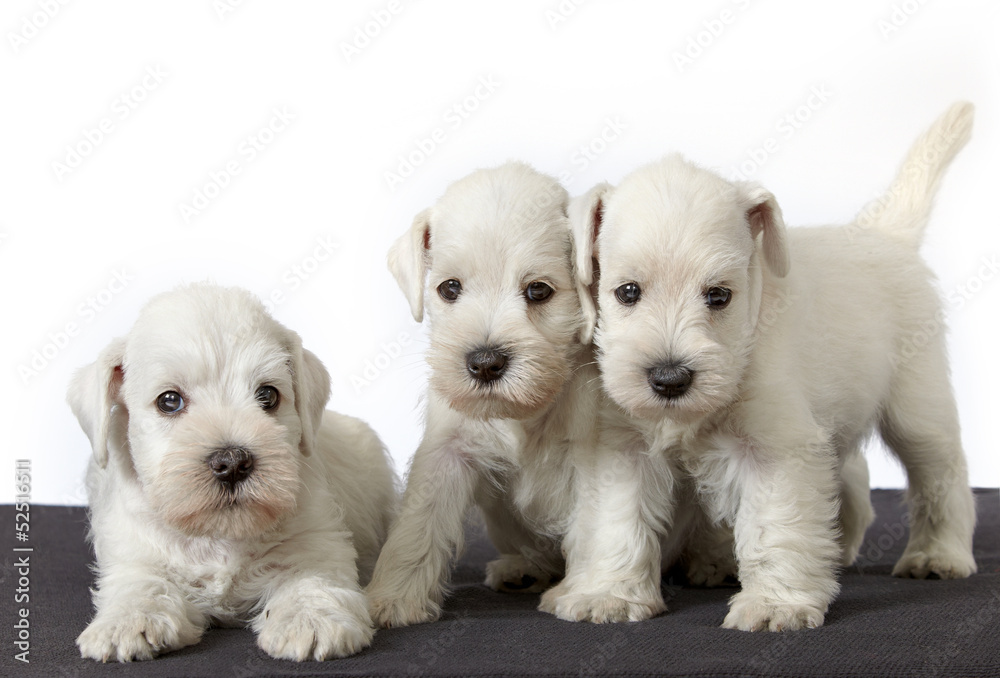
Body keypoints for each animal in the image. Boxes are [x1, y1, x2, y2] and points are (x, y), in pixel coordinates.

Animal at [65, 284, 394, 660]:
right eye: (169, 401)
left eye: (267, 395)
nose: (232, 462)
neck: (220, 536)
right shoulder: (133, 552)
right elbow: (142, 582)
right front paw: (128, 622)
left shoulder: (316, 541)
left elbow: (311, 578)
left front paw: (310, 621)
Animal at [368, 161, 600, 628]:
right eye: (449, 288)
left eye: (539, 290)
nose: (485, 363)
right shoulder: (446, 449)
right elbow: (418, 524)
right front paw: (394, 597)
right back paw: (521, 568)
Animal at [548, 103, 976, 636]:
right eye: (627, 292)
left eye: (719, 295)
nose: (670, 380)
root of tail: (886, 234)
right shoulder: (622, 447)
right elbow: (616, 523)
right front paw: (608, 594)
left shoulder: (775, 448)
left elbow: (776, 526)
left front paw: (776, 604)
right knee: (854, 476)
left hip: (918, 410)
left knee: (942, 476)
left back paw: (938, 554)